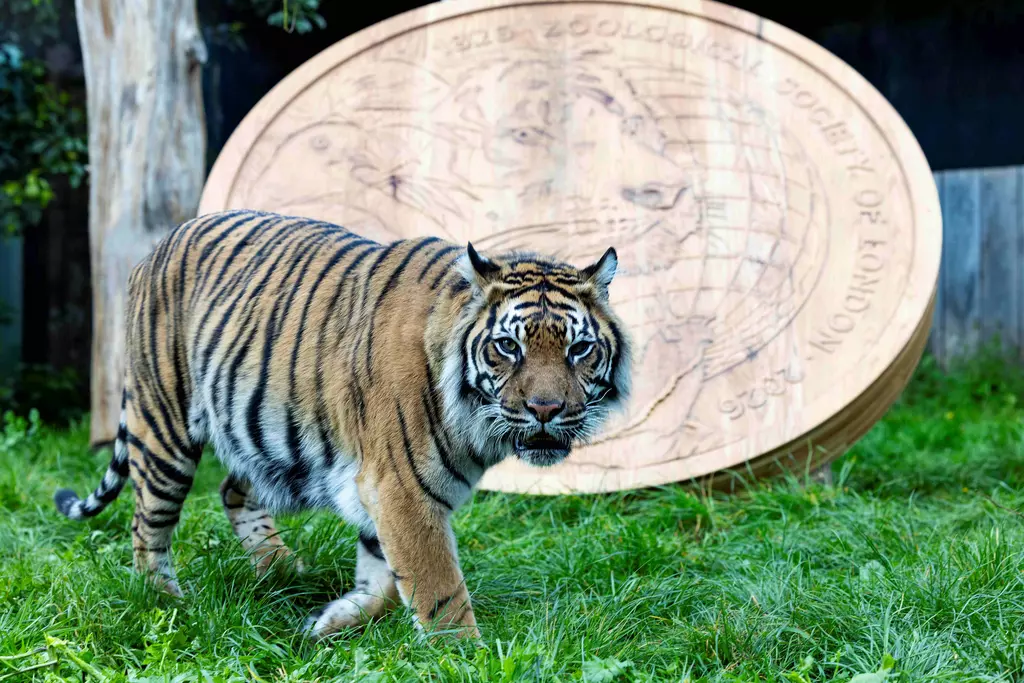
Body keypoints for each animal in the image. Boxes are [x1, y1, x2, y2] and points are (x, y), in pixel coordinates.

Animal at [53, 209, 631, 639]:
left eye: (579, 349)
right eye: (508, 346)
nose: (545, 409)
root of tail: (162, 241)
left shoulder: (379, 488)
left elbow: (384, 581)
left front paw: (331, 619)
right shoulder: (402, 489)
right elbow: (439, 589)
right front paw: (465, 656)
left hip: (263, 433)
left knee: (232, 489)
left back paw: (284, 570)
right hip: (164, 429)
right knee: (147, 525)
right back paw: (166, 604)